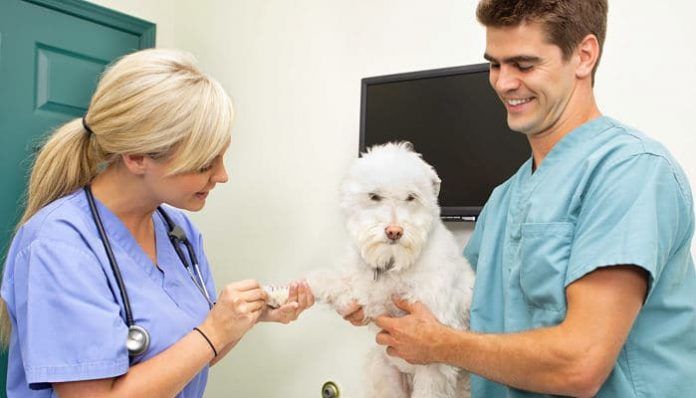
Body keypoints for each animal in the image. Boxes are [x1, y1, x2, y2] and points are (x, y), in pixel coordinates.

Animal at [308, 141, 476, 396]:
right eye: (374, 196)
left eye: (411, 197)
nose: (394, 231)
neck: (394, 265)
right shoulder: (367, 294)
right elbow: (342, 286)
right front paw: (310, 284)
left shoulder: (434, 358)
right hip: (385, 374)